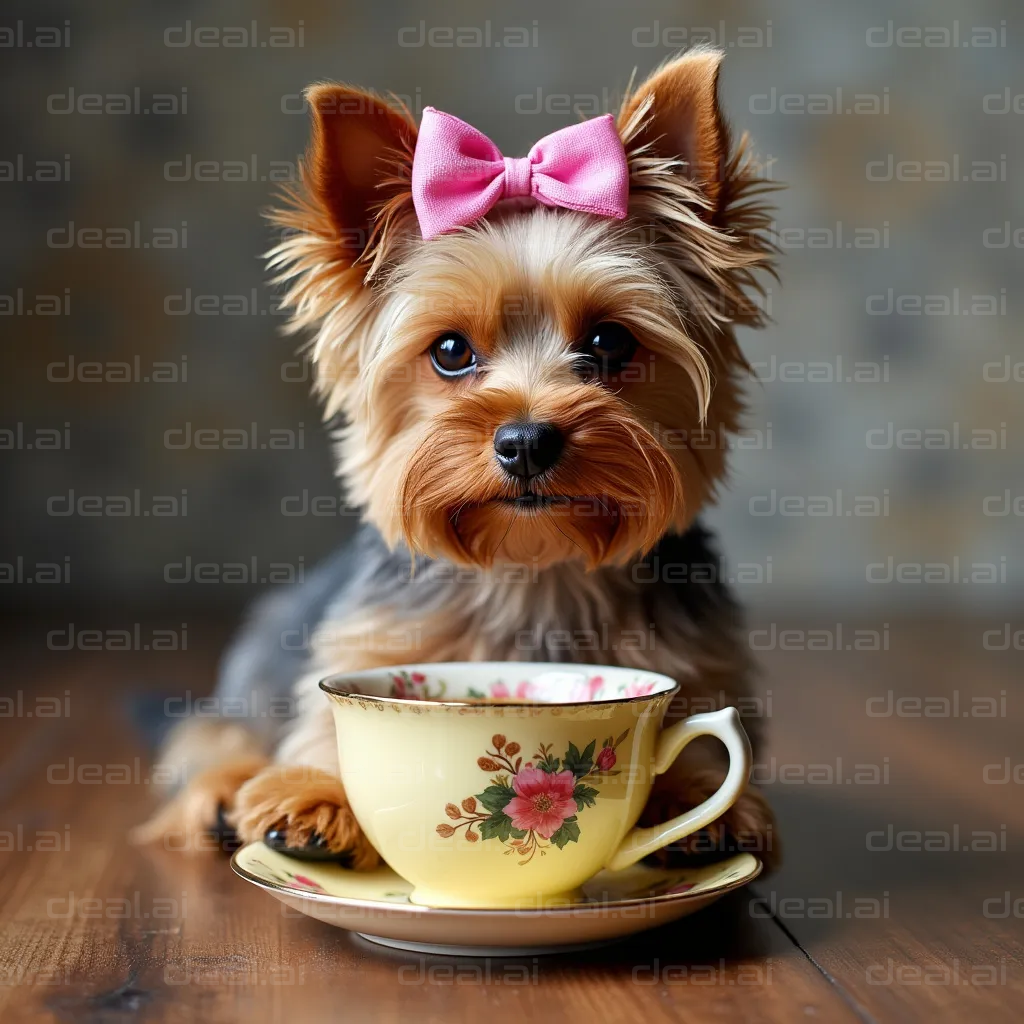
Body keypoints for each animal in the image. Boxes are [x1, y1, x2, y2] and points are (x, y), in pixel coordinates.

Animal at [134, 49, 774, 872]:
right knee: (212, 735)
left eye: (608, 342)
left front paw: (695, 796)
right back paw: (218, 792)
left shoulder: (705, 662)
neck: (536, 574)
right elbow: (326, 723)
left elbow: (702, 735)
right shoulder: (367, 648)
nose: (526, 441)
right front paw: (318, 794)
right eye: (449, 351)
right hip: (258, 665)